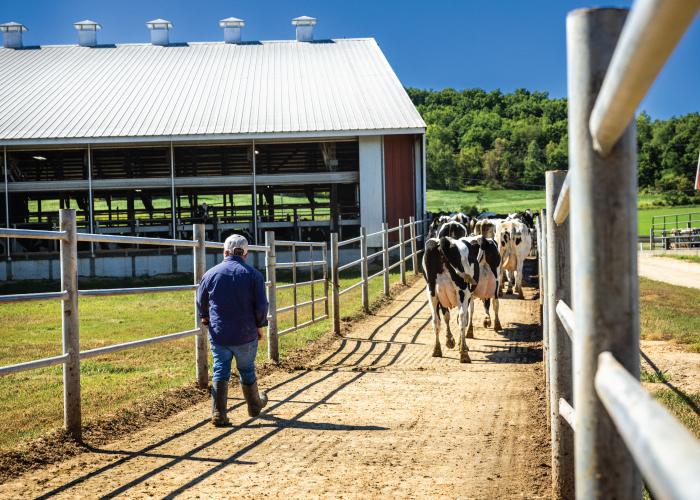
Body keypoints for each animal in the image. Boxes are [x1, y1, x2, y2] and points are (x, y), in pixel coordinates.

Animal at [422, 230, 504, 364]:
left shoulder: (443, 298)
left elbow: (446, 316)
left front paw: (450, 340)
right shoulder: (469, 295)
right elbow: (469, 313)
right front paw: (461, 343)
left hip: (432, 292)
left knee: (435, 320)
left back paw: (437, 350)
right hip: (470, 289)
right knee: (482, 309)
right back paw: (465, 354)